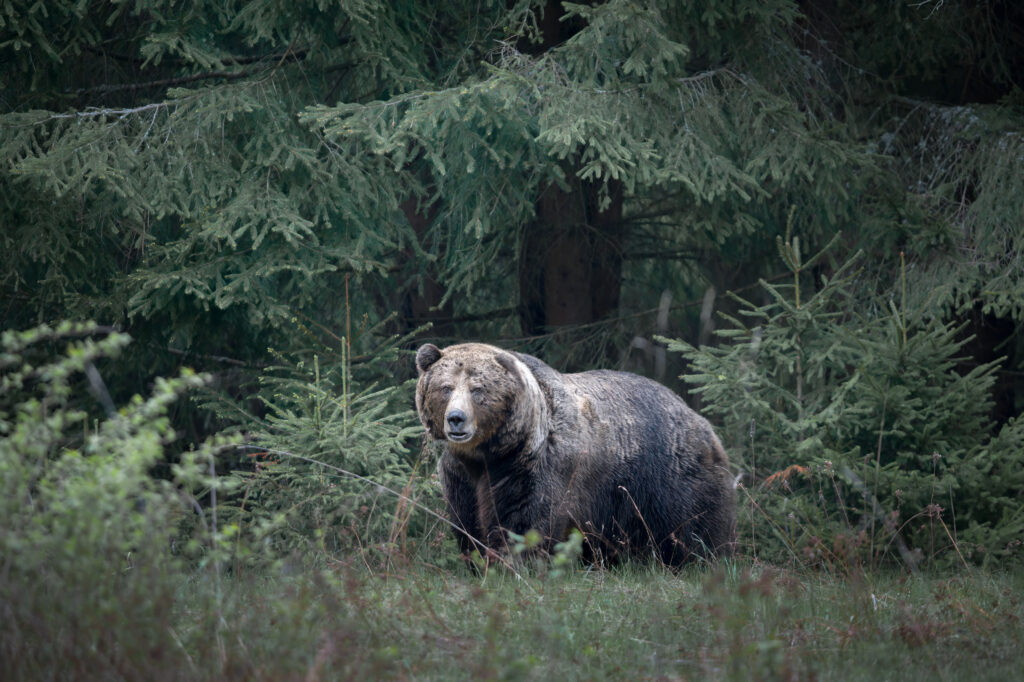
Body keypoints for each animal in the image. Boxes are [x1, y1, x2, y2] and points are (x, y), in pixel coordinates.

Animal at [415, 342, 736, 566]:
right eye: (445, 388)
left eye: (477, 389)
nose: (456, 419)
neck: (491, 454)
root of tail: (700, 419)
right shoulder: (462, 473)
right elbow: (468, 519)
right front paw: (479, 559)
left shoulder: (535, 467)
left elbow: (525, 520)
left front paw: (514, 562)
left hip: (668, 477)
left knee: (692, 528)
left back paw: (700, 560)